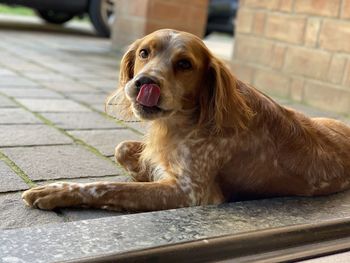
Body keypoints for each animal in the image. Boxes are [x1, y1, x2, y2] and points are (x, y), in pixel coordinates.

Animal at [21, 28, 350, 211]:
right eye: (144, 53)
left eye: (184, 64)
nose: (143, 82)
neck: (191, 119)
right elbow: (122, 148)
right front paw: (145, 170)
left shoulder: (193, 193)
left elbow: (108, 187)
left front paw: (57, 191)